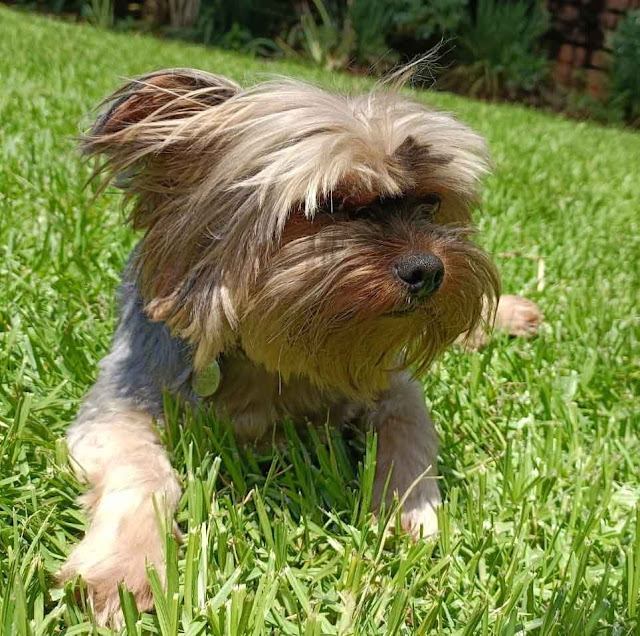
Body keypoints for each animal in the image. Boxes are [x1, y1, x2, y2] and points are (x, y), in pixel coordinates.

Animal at [58, 67, 540, 624]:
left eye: (431, 202)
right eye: (327, 205)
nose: (429, 269)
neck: (274, 363)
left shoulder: (397, 390)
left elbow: (409, 442)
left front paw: (411, 517)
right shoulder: (119, 404)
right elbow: (143, 472)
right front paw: (126, 567)